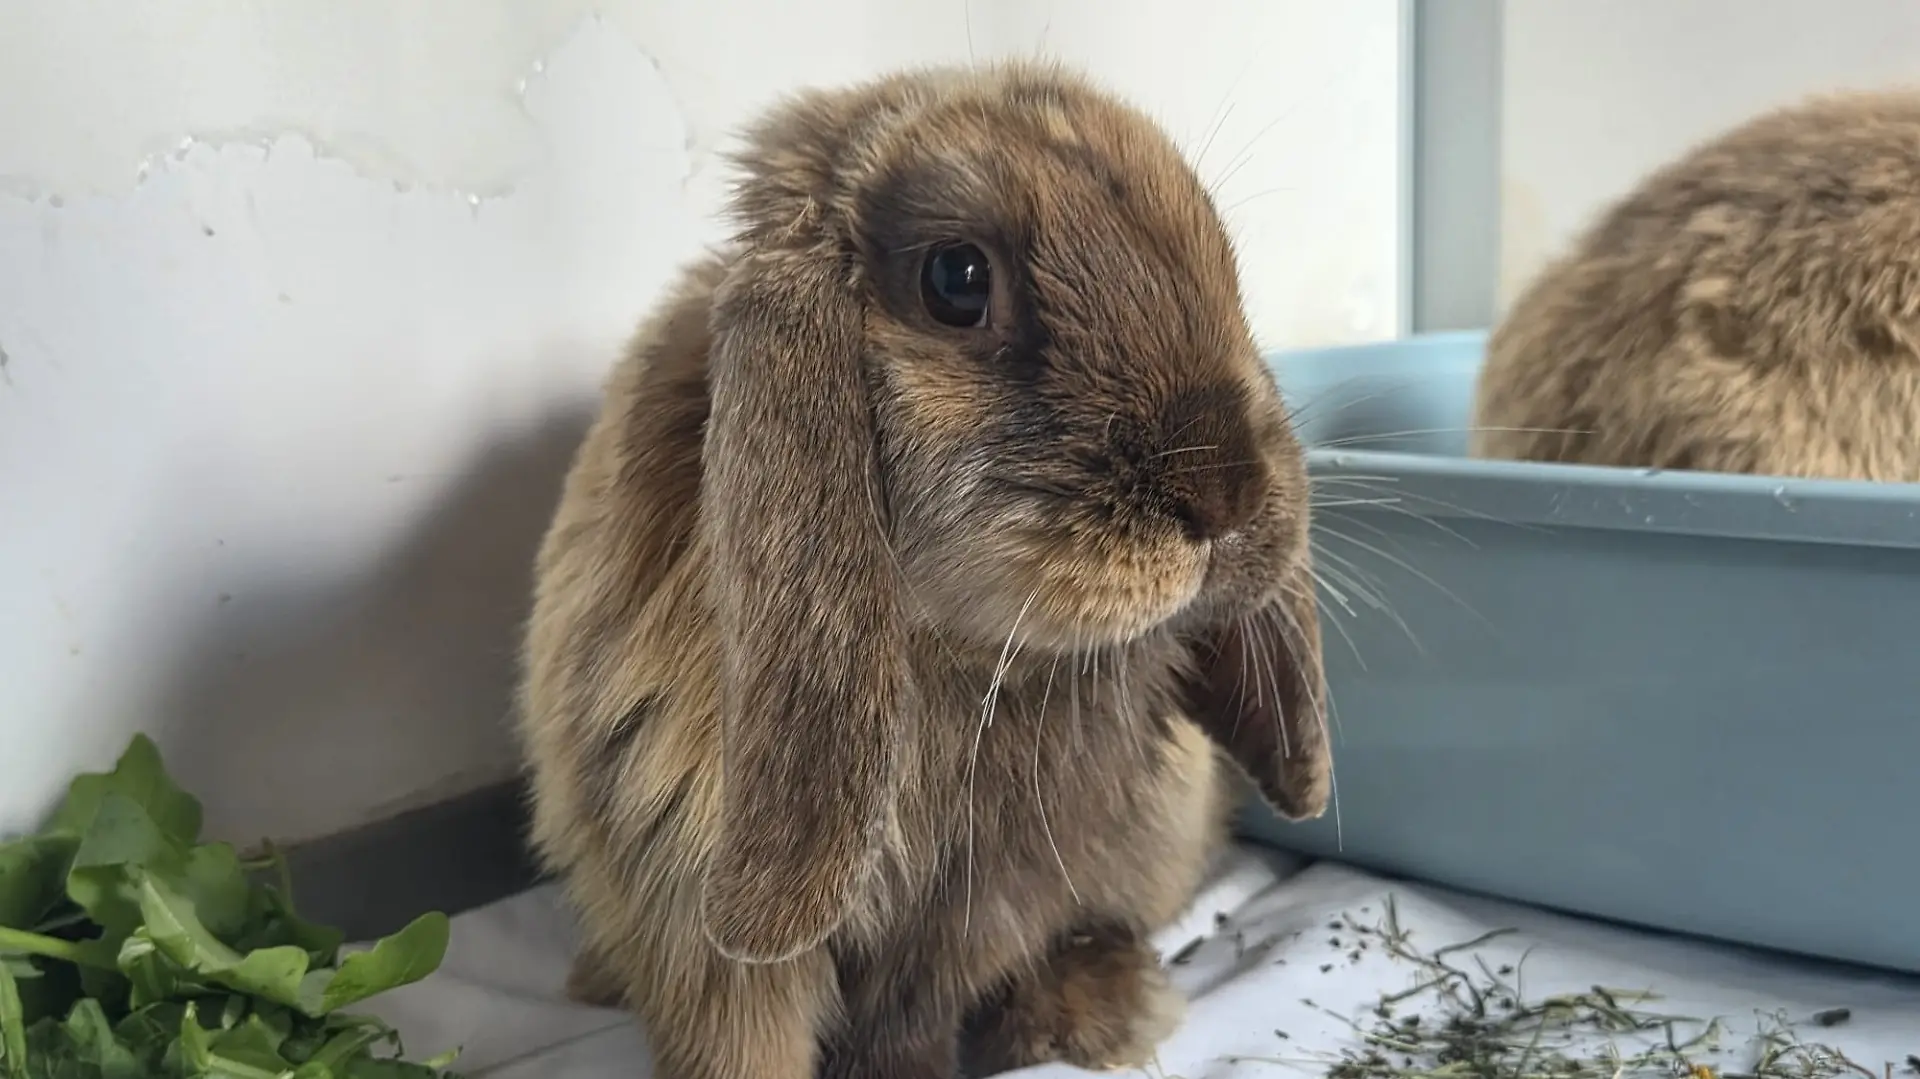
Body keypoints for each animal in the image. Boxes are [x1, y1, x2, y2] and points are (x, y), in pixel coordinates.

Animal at [515, 59, 1331, 1079]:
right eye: (957, 278)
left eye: (1218, 251)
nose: (1228, 495)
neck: (958, 661)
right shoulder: (690, 907)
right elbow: (739, 1036)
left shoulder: (979, 904)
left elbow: (914, 1008)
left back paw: (1095, 1006)